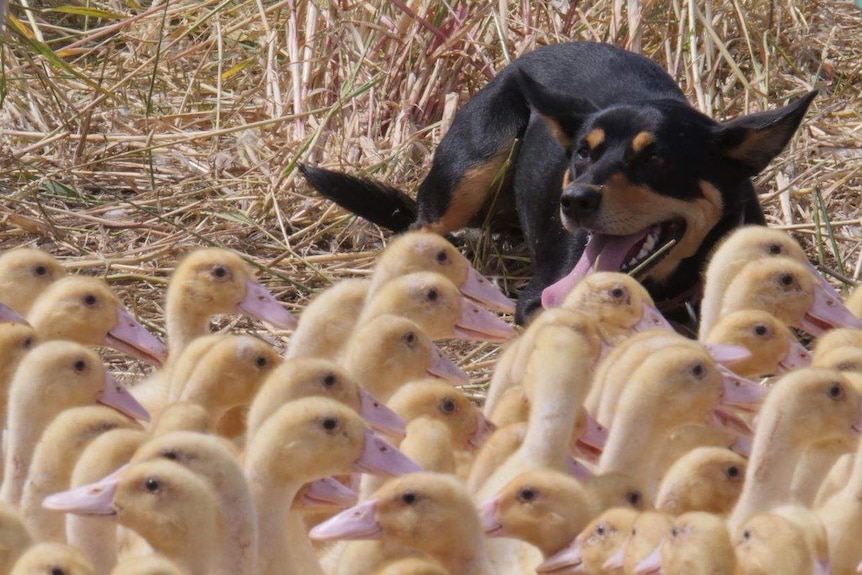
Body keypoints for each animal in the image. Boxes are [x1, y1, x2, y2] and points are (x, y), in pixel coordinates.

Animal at [300, 42, 820, 326]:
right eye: (583, 153)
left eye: (655, 158)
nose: (573, 200)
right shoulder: (539, 301)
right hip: (470, 167)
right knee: (420, 230)